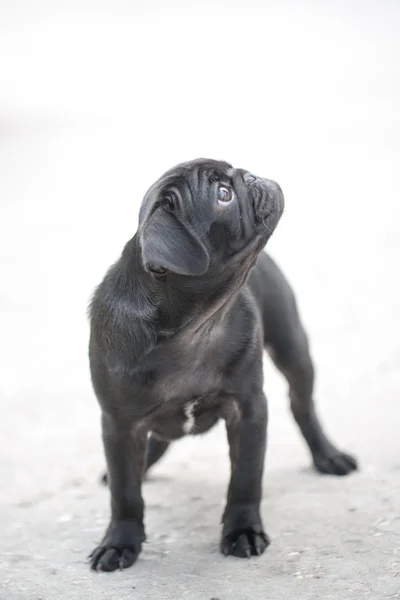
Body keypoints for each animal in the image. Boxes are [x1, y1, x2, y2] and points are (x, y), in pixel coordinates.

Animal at [87, 157, 356, 568]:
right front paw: (120, 542)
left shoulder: (248, 409)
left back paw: (328, 456)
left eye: (232, 180)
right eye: (223, 195)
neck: (194, 327)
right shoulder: (119, 424)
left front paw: (242, 531)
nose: (252, 175)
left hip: (293, 348)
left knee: (302, 407)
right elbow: (124, 493)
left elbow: (245, 479)